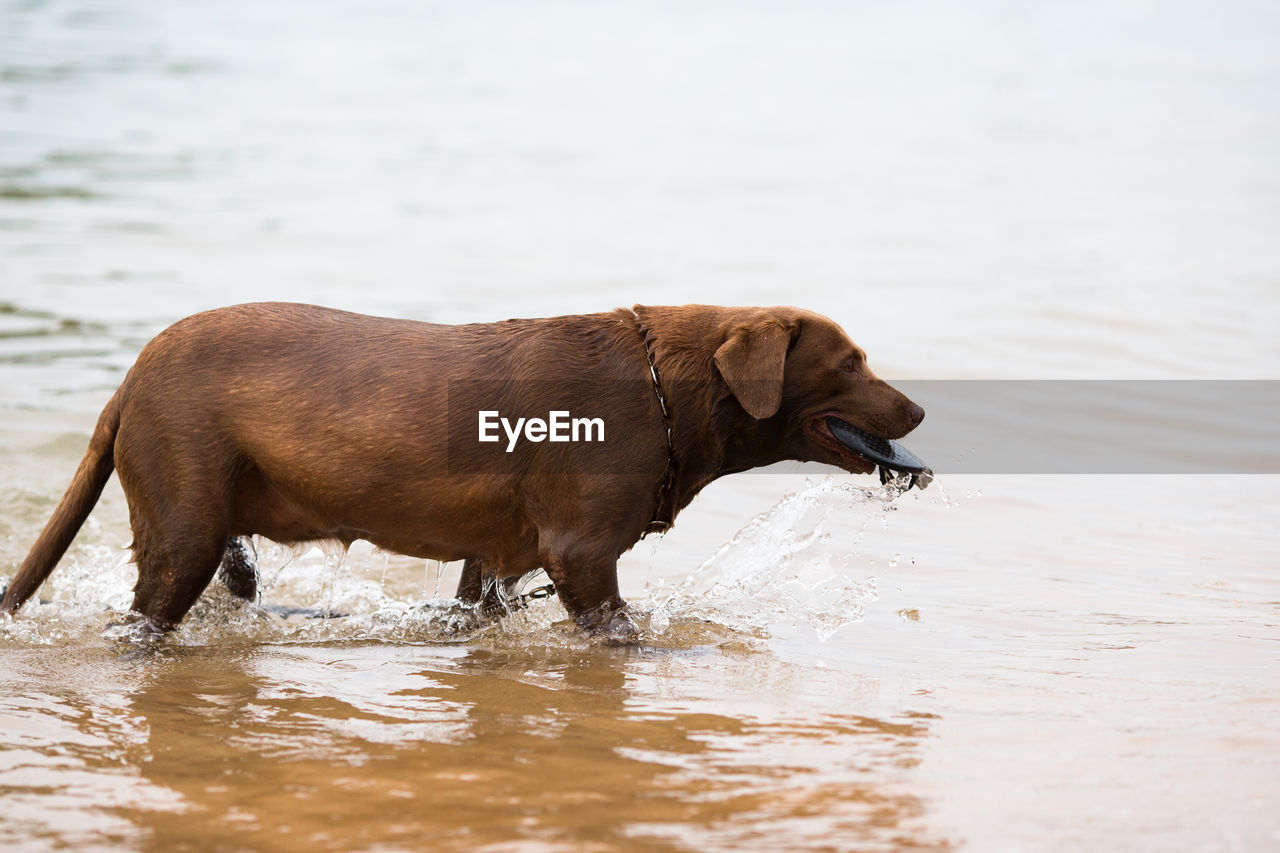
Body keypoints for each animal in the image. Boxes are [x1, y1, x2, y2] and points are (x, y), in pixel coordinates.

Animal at [0, 302, 921, 635]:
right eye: (852, 361)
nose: (918, 412)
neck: (667, 389)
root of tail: (132, 376)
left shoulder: (498, 556)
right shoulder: (583, 554)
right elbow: (619, 627)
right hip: (181, 521)